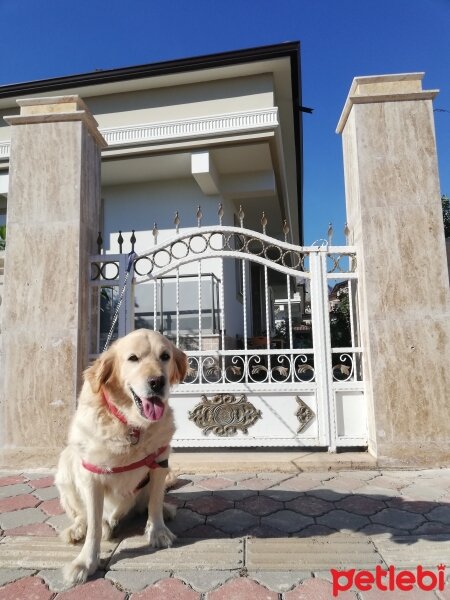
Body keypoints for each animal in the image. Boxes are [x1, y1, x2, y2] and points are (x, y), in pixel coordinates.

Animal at [55, 328, 188, 584]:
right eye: (133, 358)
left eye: (165, 356)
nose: (158, 382)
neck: (131, 425)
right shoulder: (91, 474)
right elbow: (94, 526)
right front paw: (85, 562)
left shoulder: (160, 461)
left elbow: (154, 503)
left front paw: (157, 531)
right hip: (65, 465)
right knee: (82, 515)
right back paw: (77, 529)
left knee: (148, 502)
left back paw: (165, 509)